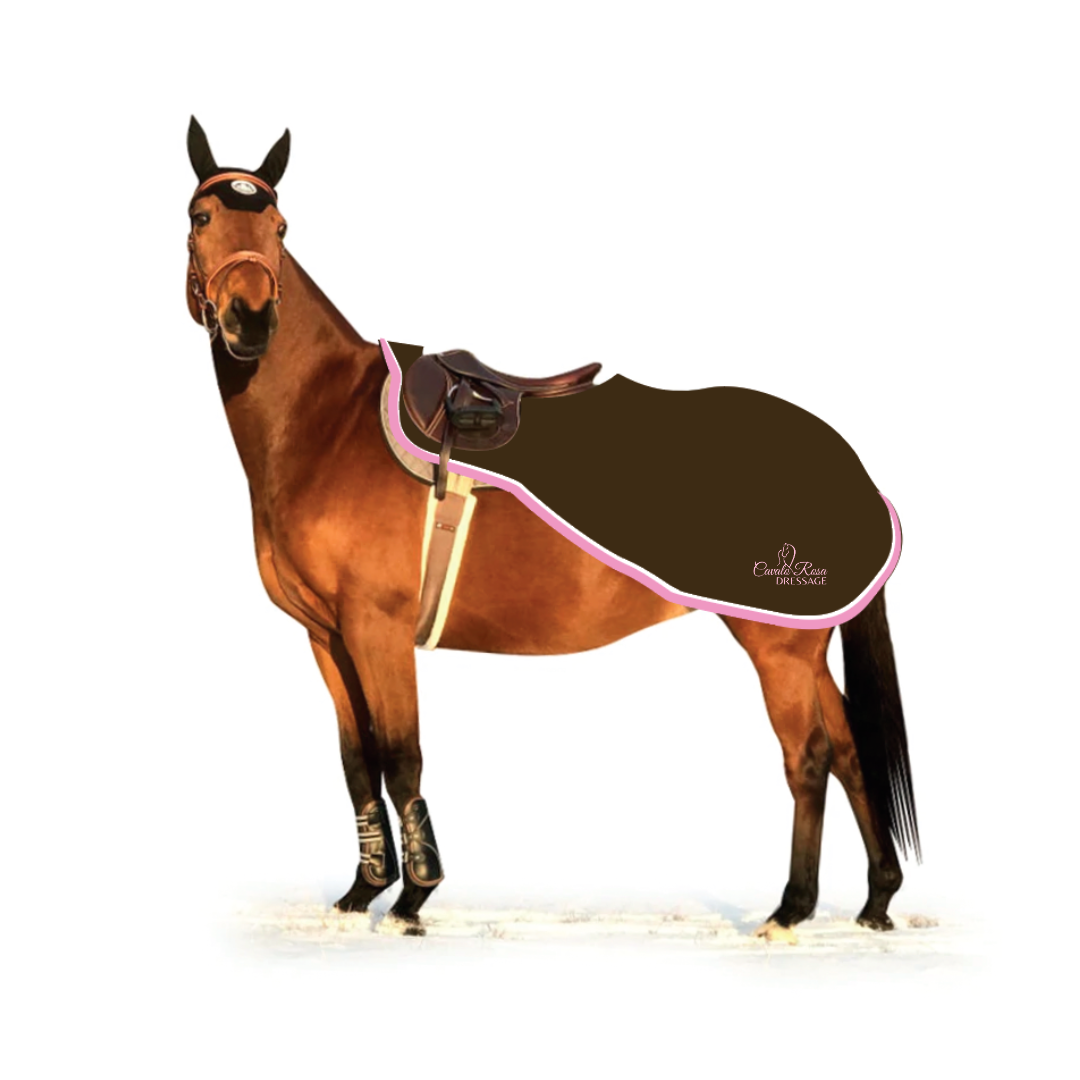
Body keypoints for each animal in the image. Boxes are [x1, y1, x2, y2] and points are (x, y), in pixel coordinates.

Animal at [184, 117, 919, 939]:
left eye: (280, 227)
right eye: (202, 218)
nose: (251, 321)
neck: (327, 421)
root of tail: (847, 464)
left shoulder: (378, 629)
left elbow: (402, 755)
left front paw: (412, 899)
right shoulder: (327, 637)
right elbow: (355, 763)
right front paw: (359, 893)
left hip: (777, 646)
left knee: (809, 757)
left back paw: (790, 910)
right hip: (803, 640)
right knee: (851, 751)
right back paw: (877, 899)